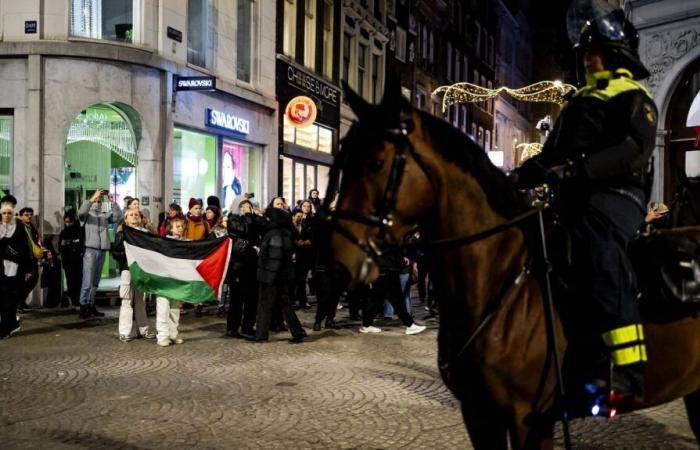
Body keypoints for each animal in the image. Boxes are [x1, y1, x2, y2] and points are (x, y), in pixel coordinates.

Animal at [330, 81, 700, 450]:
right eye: (343, 157)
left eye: (377, 162)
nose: (338, 262)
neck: (503, 285)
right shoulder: (479, 415)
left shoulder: (530, 422)